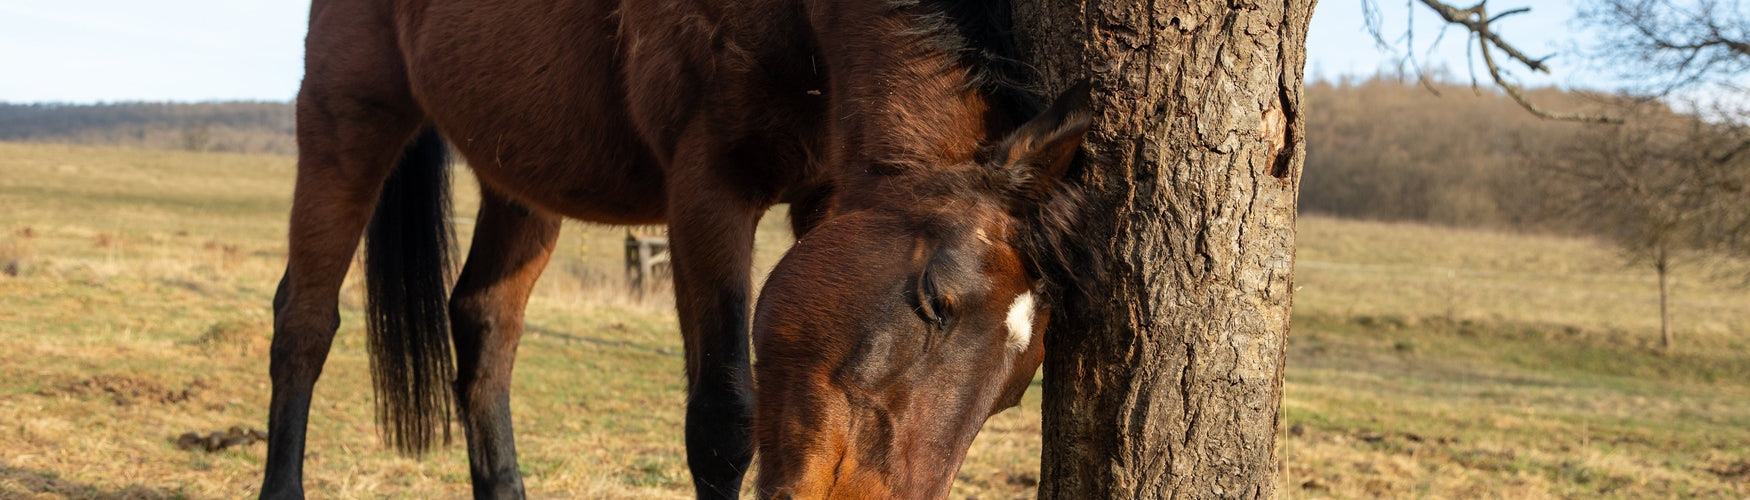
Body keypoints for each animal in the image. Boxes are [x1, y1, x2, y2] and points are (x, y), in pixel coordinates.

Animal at [266, 0, 1090, 498]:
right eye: (934, 302)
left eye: (1015, 390)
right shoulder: (707, 192)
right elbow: (722, 420)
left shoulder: (823, 199)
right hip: (347, 113)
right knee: (303, 322)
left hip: (520, 177)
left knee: (484, 326)